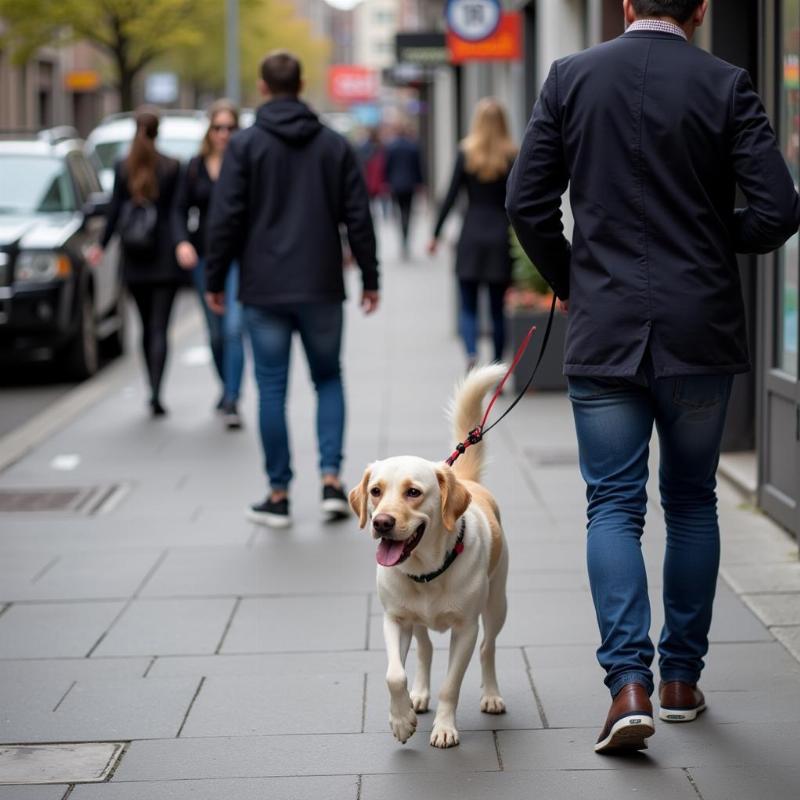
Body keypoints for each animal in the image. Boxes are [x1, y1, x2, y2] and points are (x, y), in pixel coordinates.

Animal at [348, 366, 506, 748]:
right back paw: (418, 695)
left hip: (497, 603)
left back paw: (491, 695)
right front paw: (401, 719)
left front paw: (445, 728)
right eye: (375, 491)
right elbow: (394, 675)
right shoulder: (394, 620)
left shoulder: (466, 629)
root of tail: (461, 477)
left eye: (413, 492)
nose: (381, 522)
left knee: (488, 648)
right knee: (425, 650)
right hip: (416, 621)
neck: (427, 571)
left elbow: (451, 686)